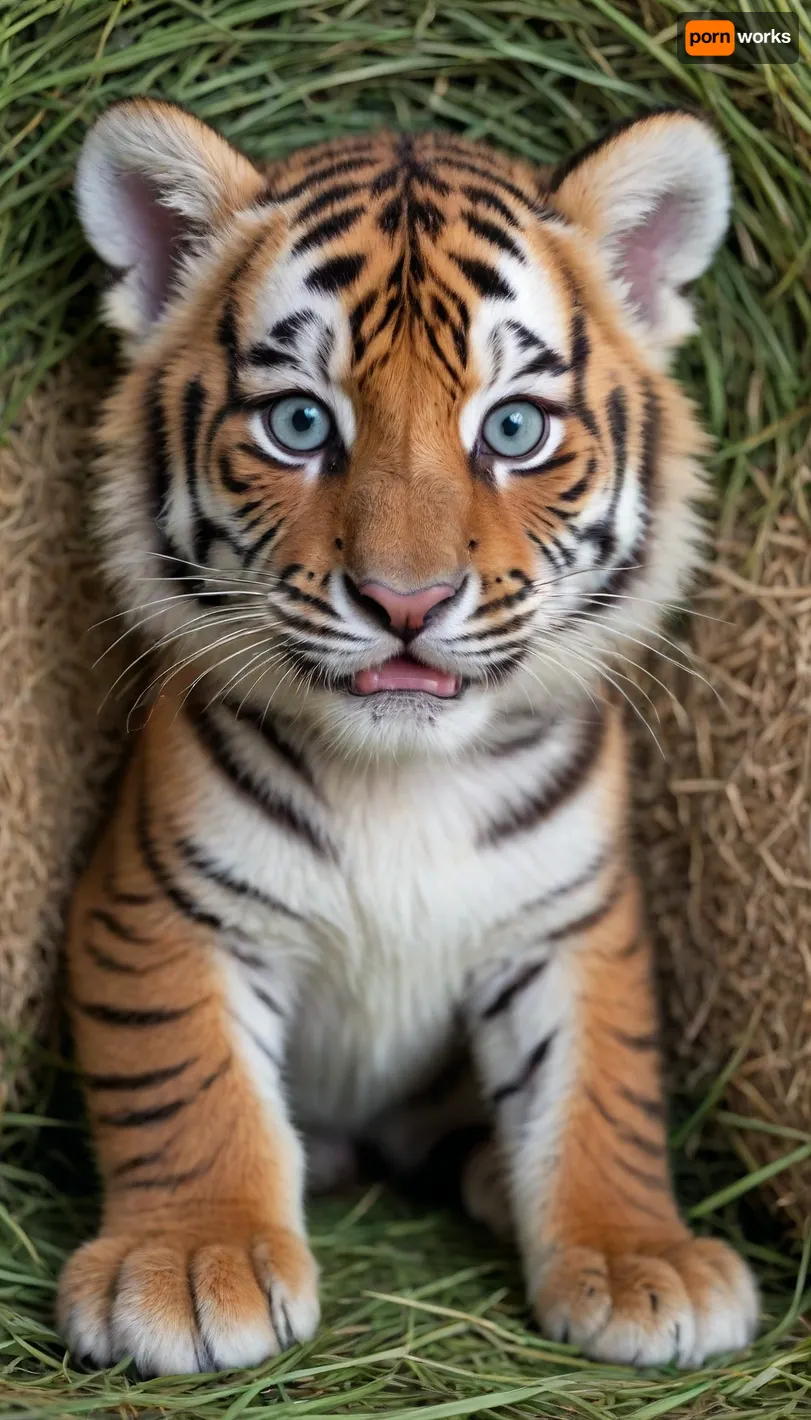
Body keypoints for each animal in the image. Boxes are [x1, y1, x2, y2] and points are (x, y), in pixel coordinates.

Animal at [57, 99, 758, 1376]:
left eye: (514, 428)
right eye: (299, 422)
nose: (405, 601)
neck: (400, 774)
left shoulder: (572, 918)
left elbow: (601, 1090)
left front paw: (643, 1262)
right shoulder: (163, 903)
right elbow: (186, 1077)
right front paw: (189, 1262)